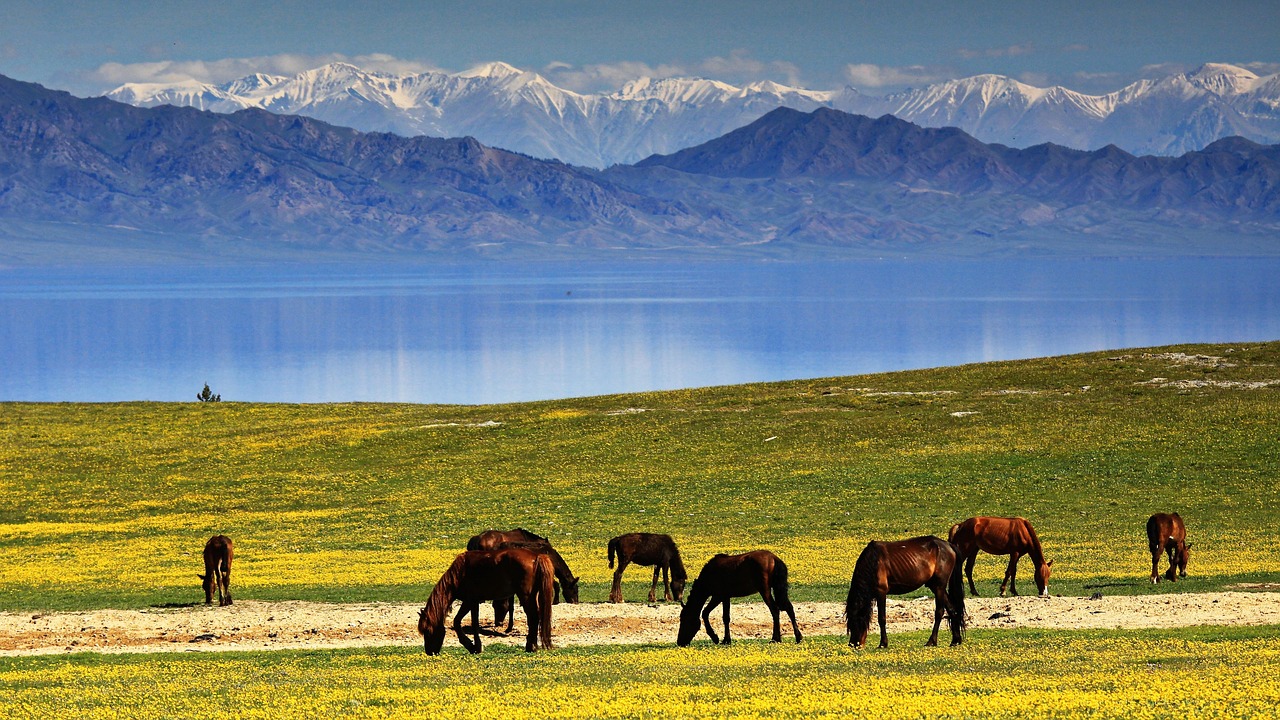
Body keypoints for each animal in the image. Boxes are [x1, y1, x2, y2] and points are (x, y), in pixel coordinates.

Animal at [417, 548, 555, 655]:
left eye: (428, 630)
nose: (429, 652)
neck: (460, 572)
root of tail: (536, 557)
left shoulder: (470, 601)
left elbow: (465, 623)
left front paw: (473, 646)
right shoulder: (473, 602)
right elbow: (468, 622)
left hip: (526, 596)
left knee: (533, 617)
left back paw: (531, 646)